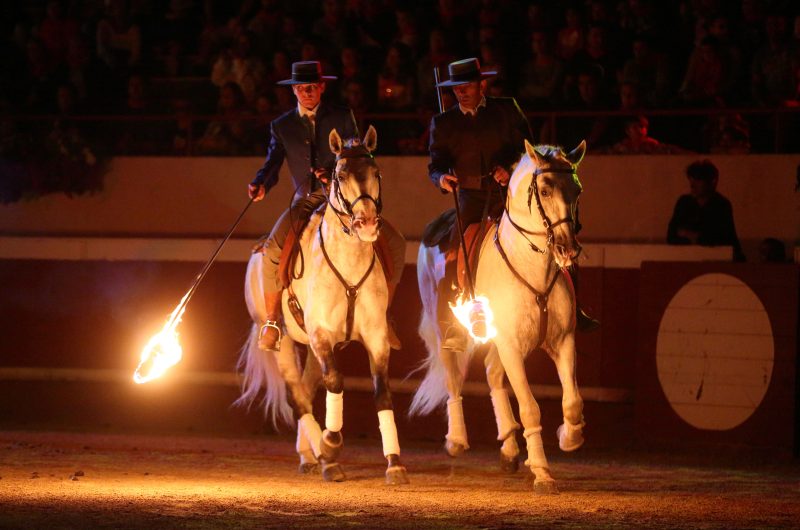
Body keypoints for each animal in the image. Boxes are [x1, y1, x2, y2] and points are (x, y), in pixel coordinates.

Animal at [237, 125, 409, 485]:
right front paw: (330, 446)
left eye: (376, 172)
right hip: (285, 341)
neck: (349, 265)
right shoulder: (321, 334)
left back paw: (310, 455)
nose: (367, 223)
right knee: (297, 396)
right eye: (340, 175)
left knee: (307, 388)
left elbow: (381, 391)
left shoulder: (375, 337)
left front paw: (394, 463)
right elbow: (336, 383)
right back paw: (323, 456)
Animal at [410, 140, 587, 493]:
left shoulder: (563, 342)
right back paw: (456, 440)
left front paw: (568, 437)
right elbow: (530, 408)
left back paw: (509, 447)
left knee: (492, 375)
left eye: (577, 190)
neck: (533, 269)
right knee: (453, 376)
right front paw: (543, 472)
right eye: (544, 190)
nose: (567, 249)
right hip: (443, 327)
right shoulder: (511, 346)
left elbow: (572, 401)